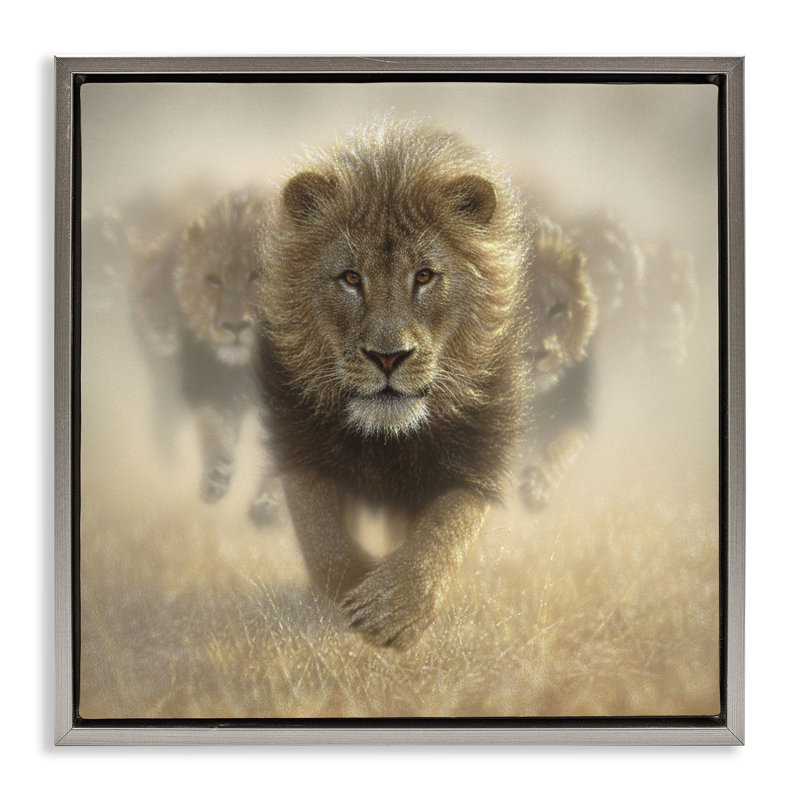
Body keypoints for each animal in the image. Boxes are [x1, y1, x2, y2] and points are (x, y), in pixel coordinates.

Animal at [131, 188, 280, 525]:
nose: (235, 326)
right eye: (213, 280)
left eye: (258, 275)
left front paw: (267, 504)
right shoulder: (212, 387)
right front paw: (215, 480)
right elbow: (215, 433)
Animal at [255, 120, 531, 649]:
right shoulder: (298, 439)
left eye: (424, 275)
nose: (388, 356)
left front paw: (392, 608)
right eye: (350, 277)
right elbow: (322, 539)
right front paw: (356, 587)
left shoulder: (478, 455)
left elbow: (446, 529)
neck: (387, 439)